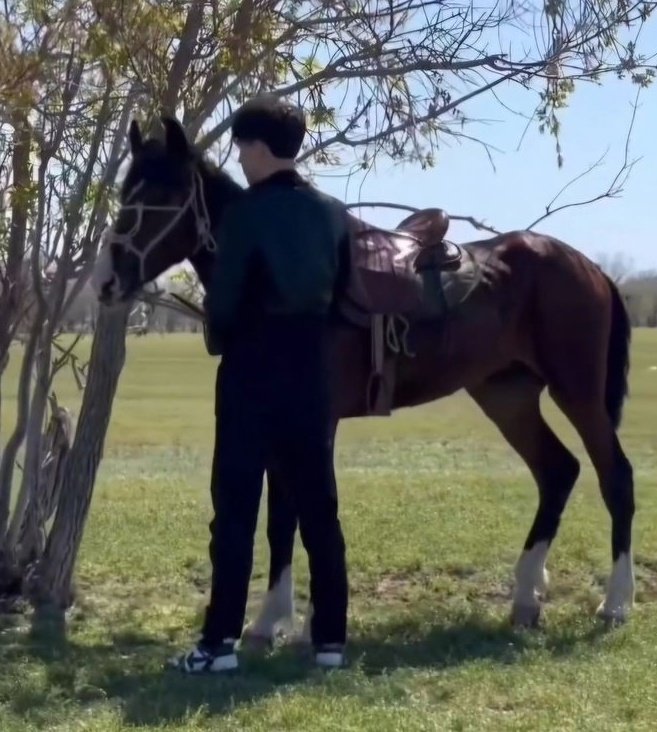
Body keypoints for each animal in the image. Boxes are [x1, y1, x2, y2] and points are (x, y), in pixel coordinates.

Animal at [89, 116, 632, 648]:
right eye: (127, 193)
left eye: (162, 196)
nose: (105, 281)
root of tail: (588, 268)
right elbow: (283, 518)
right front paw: (278, 620)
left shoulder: (312, 423)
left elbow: (291, 515)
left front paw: (280, 621)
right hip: (506, 394)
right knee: (557, 471)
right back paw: (525, 597)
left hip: (577, 391)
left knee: (615, 476)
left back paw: (616, 603)